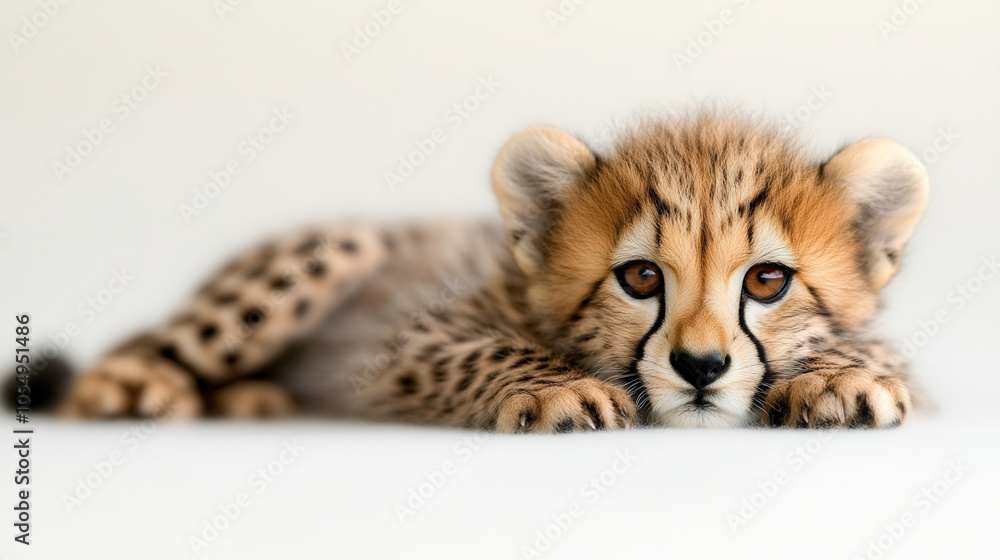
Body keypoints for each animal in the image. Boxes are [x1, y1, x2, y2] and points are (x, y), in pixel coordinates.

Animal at [54, 110, 929, 432]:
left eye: (767, 282)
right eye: (642, 279)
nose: (702, 367)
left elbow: (879, 351)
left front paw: (839, 379)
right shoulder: (406, 339)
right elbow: (489, 348)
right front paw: (562, 391)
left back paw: (250, 399)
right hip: (339, 249)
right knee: (146, 349)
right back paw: (135, 388)